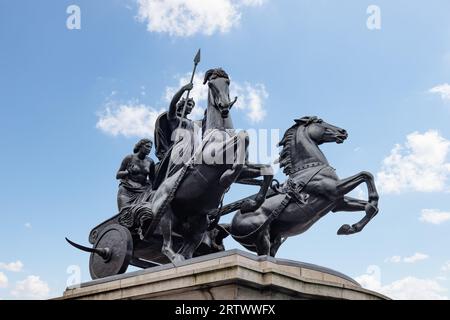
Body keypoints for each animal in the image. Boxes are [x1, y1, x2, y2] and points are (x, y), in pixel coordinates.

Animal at [147, 68, 274, 262]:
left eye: (227, 82)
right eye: (212, 84)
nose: (224, 107)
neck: (220, 131)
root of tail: (155, 195)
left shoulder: (245, 169)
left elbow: (266, 169)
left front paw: (252, 204)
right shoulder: (215, 157)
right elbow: (243, 137)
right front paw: (226, 179)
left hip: (198, 224)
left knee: (187, 250)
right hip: (166, 215)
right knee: (166, 246)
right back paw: (176, 259)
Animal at [229, 116, 380, 256]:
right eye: (319, 121)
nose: (343, 132)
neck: (309, 168)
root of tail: (230, 224)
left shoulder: (338, 203)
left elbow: (372, 207)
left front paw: (349, 228)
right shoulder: (334, 189)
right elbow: (366, 175)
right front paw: (368, 206)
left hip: (274, 239)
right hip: (262, 238)